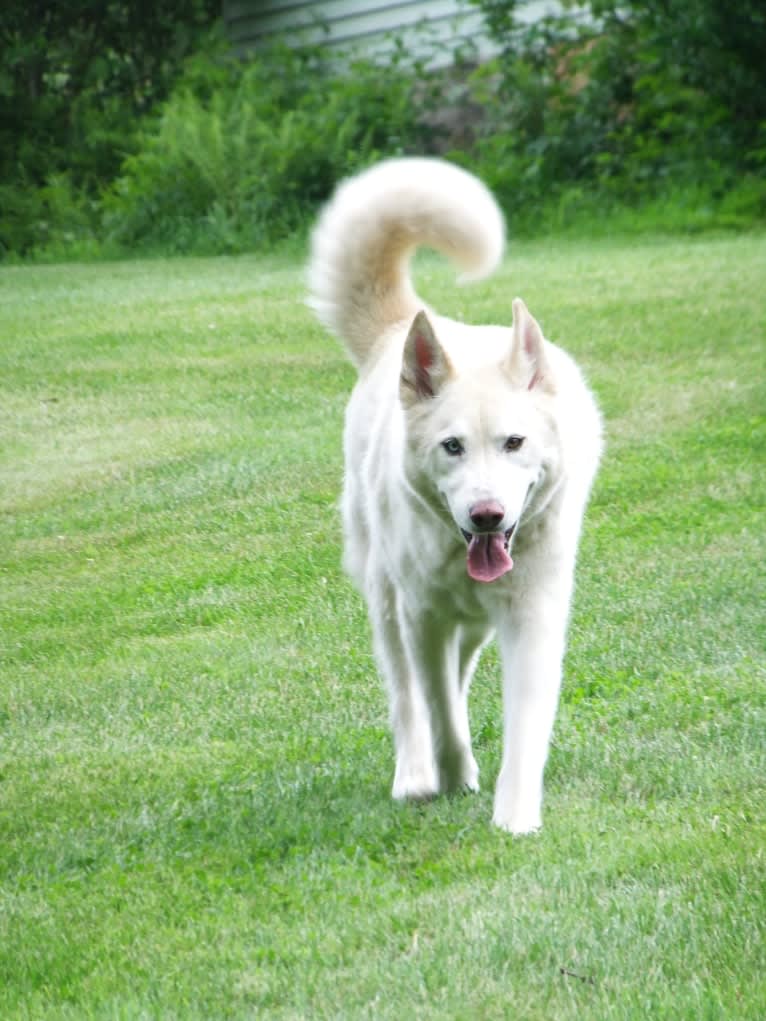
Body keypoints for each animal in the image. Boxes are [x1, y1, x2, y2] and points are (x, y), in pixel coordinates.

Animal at [308, 157, 604, 829]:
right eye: (452, 447)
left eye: (515, 442)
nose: (487, 515)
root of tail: (404, 327)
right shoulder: (422, 618)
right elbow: (438, 709)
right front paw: (451, 775)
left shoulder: (532, 617)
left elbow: (524, 725)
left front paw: (515, 819)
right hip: (387, 604)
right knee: (409, 698)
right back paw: (415, 775)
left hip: (475, 625)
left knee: (459, 676)